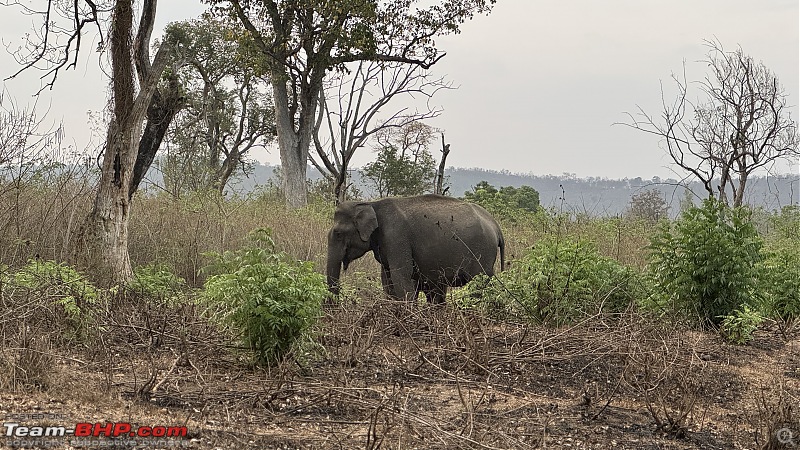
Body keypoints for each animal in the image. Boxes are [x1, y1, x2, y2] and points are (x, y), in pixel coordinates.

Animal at [324, 193, 500, 302]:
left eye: (338, 234)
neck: (372, 204)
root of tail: (495, 225)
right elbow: (387, 279)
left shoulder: (396, 236)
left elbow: (401, 276)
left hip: (483, 252)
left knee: (477, 286)